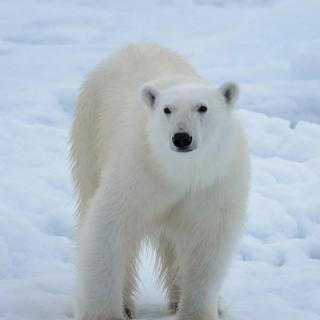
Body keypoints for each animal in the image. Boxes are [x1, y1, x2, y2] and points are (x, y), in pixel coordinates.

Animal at [70, 43, 250, 320]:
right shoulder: (139, 173)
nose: (182, 137)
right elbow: (109, 227)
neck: (180, 172)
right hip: (90, 132)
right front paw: (106, 313)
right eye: (167, 109)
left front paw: (199, 312)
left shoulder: (214, 183)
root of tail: (134, 45)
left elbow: (208, 240)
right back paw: (127, 304)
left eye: (202, 107)